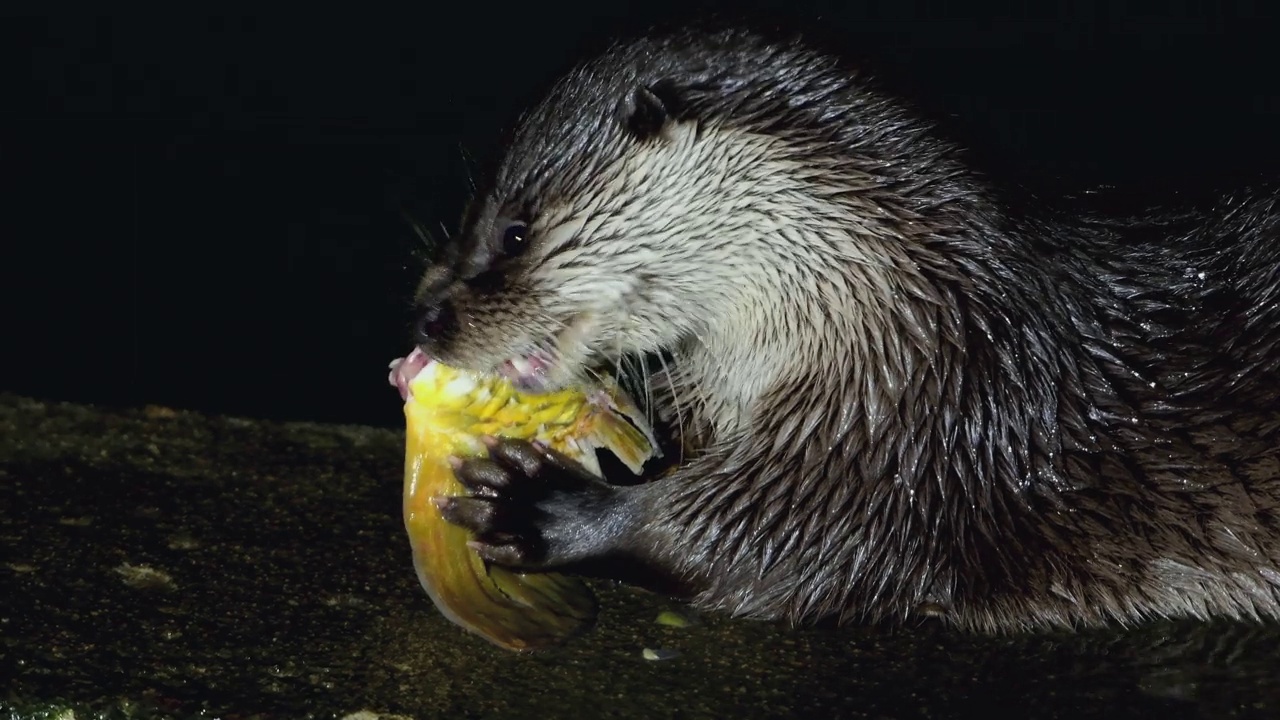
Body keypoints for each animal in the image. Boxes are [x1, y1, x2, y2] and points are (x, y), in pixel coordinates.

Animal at [407, 26, 1280, 627]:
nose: (425, 315)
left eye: (515, 232)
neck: (909, 297)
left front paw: (547, 505)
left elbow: (780, 537)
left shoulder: (918, 428)